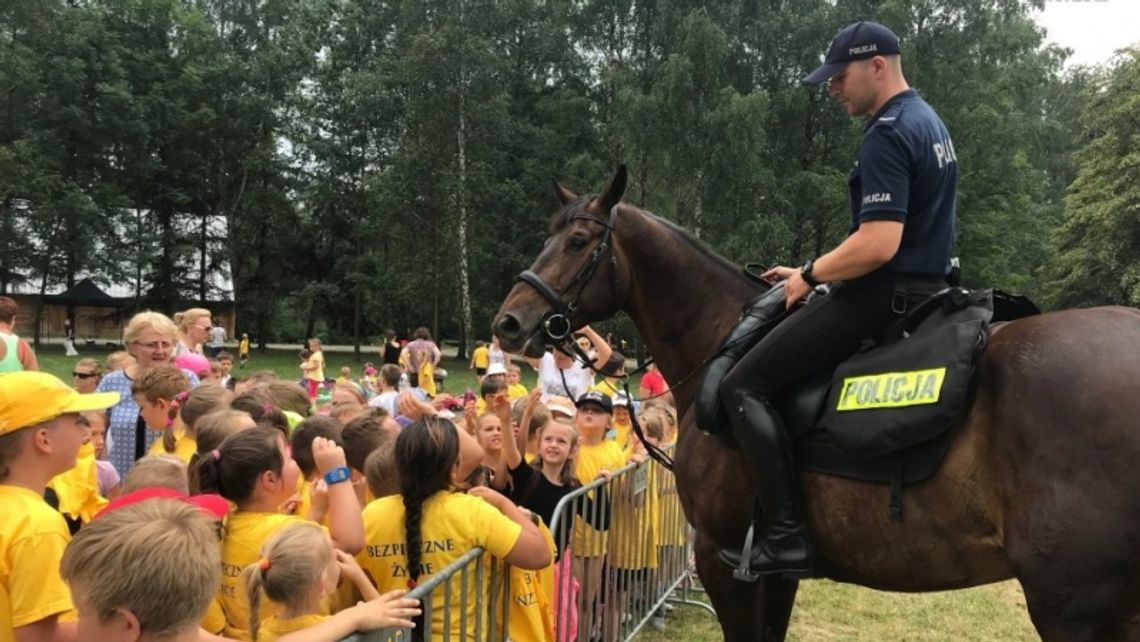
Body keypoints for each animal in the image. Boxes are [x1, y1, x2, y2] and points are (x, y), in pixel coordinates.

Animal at [492, 167, 1140, 642]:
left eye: (577, 242)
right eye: (547, 237)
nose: (509, 322)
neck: (721, 336)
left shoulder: (722, 560)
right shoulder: (778, 575)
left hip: (1071, 604)